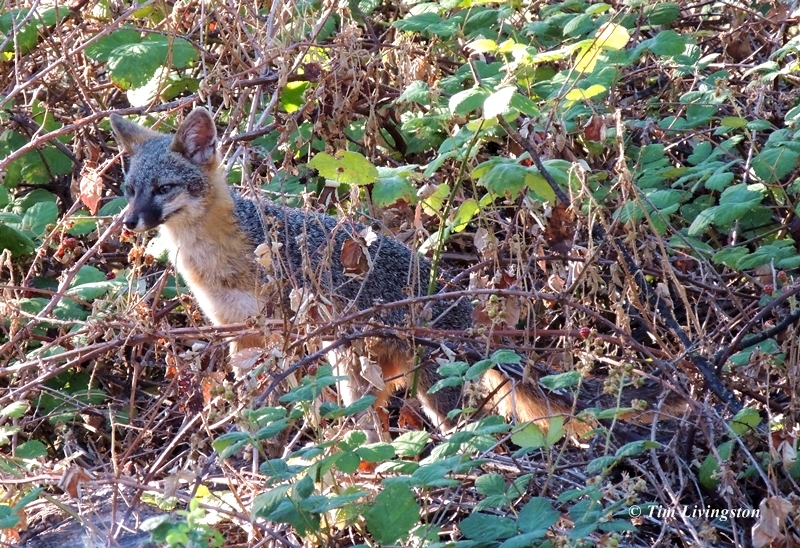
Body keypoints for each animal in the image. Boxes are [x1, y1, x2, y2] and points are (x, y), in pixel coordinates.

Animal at [110, 107, 679, 439]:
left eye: (163, 188)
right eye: (130, 190)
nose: (129, 221)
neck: (217, 261)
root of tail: (460, 306)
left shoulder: (290, 330)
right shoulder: (241, 338)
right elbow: (259, 407)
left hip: (403, 381)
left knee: (463, 428)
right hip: (365, 373)